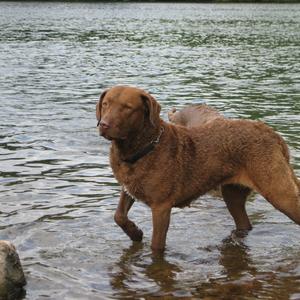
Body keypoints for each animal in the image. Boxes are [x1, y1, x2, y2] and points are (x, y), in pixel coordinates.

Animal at [96, 85, 300, 252]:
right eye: (105, 104)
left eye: (127, 107)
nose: (104, 124)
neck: (143, 147)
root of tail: (273, 134)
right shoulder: (129, 187)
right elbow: (118, 215)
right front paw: (135, 232)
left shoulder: (161, 206)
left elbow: (156, 246)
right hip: (232, 193)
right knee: (244, 223)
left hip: (278, 191)